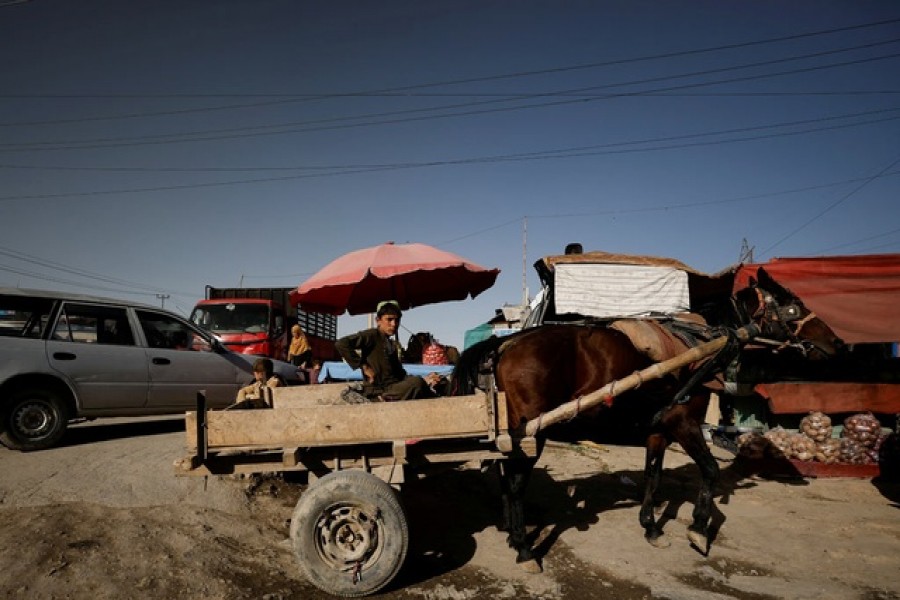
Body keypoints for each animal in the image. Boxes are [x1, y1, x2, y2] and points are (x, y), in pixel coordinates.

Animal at [450, 268, 844, 572]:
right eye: (794, 306)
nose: (838, 344)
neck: (700, 345)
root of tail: (506, 344)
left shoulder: (659, 430)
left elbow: (653, 475)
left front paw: (652, 527)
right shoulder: (684, 424)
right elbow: (710, 471)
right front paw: (699, 529)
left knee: (506, 478)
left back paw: (511, 531)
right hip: (533, 431)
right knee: (516, 484)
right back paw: (524, 548)